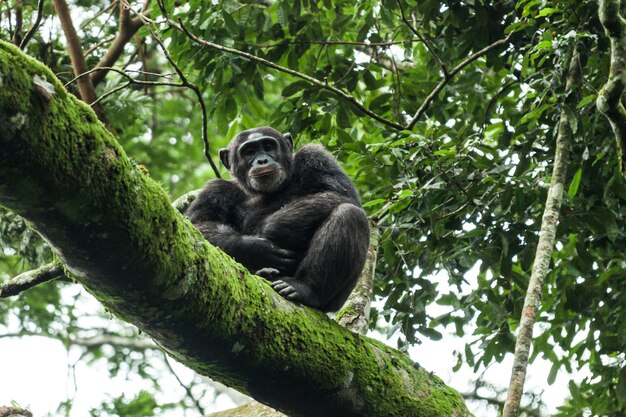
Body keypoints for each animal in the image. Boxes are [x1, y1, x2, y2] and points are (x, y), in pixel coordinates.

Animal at [188, 127, 368, 312]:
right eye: (249, 151)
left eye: (268, 146)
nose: (262, 160)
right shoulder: (215, 190)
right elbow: (199, 225)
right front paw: (256, 249)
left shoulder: (316, 157)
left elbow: (339, 194)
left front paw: (271, 228)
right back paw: (267, 273)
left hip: (335, 301)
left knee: (350, 214)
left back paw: (305, 288)